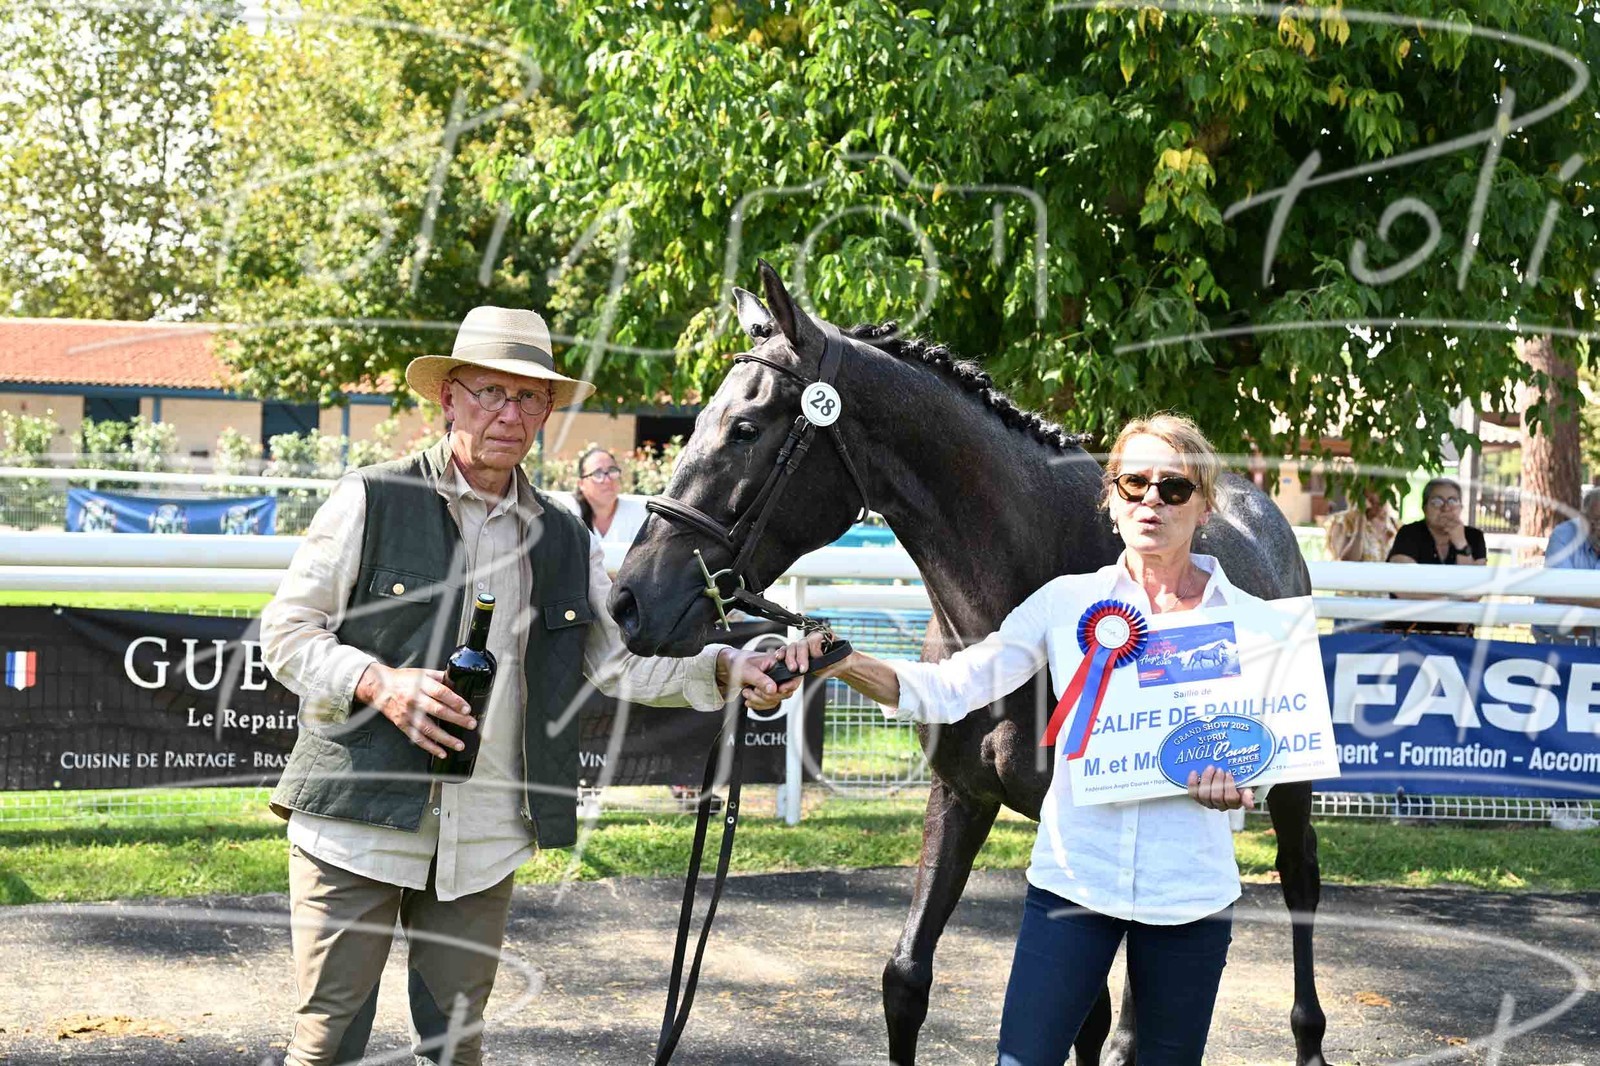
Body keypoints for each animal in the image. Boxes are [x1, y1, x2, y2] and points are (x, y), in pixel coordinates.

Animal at [611, 261, 1328, 1066]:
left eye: (745, 428)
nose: (630, 598)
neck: (1013, 603)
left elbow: (1081, 1012)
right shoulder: (961, 795)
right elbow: (907, 978)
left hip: (1293, 780)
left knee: (1298, 879)